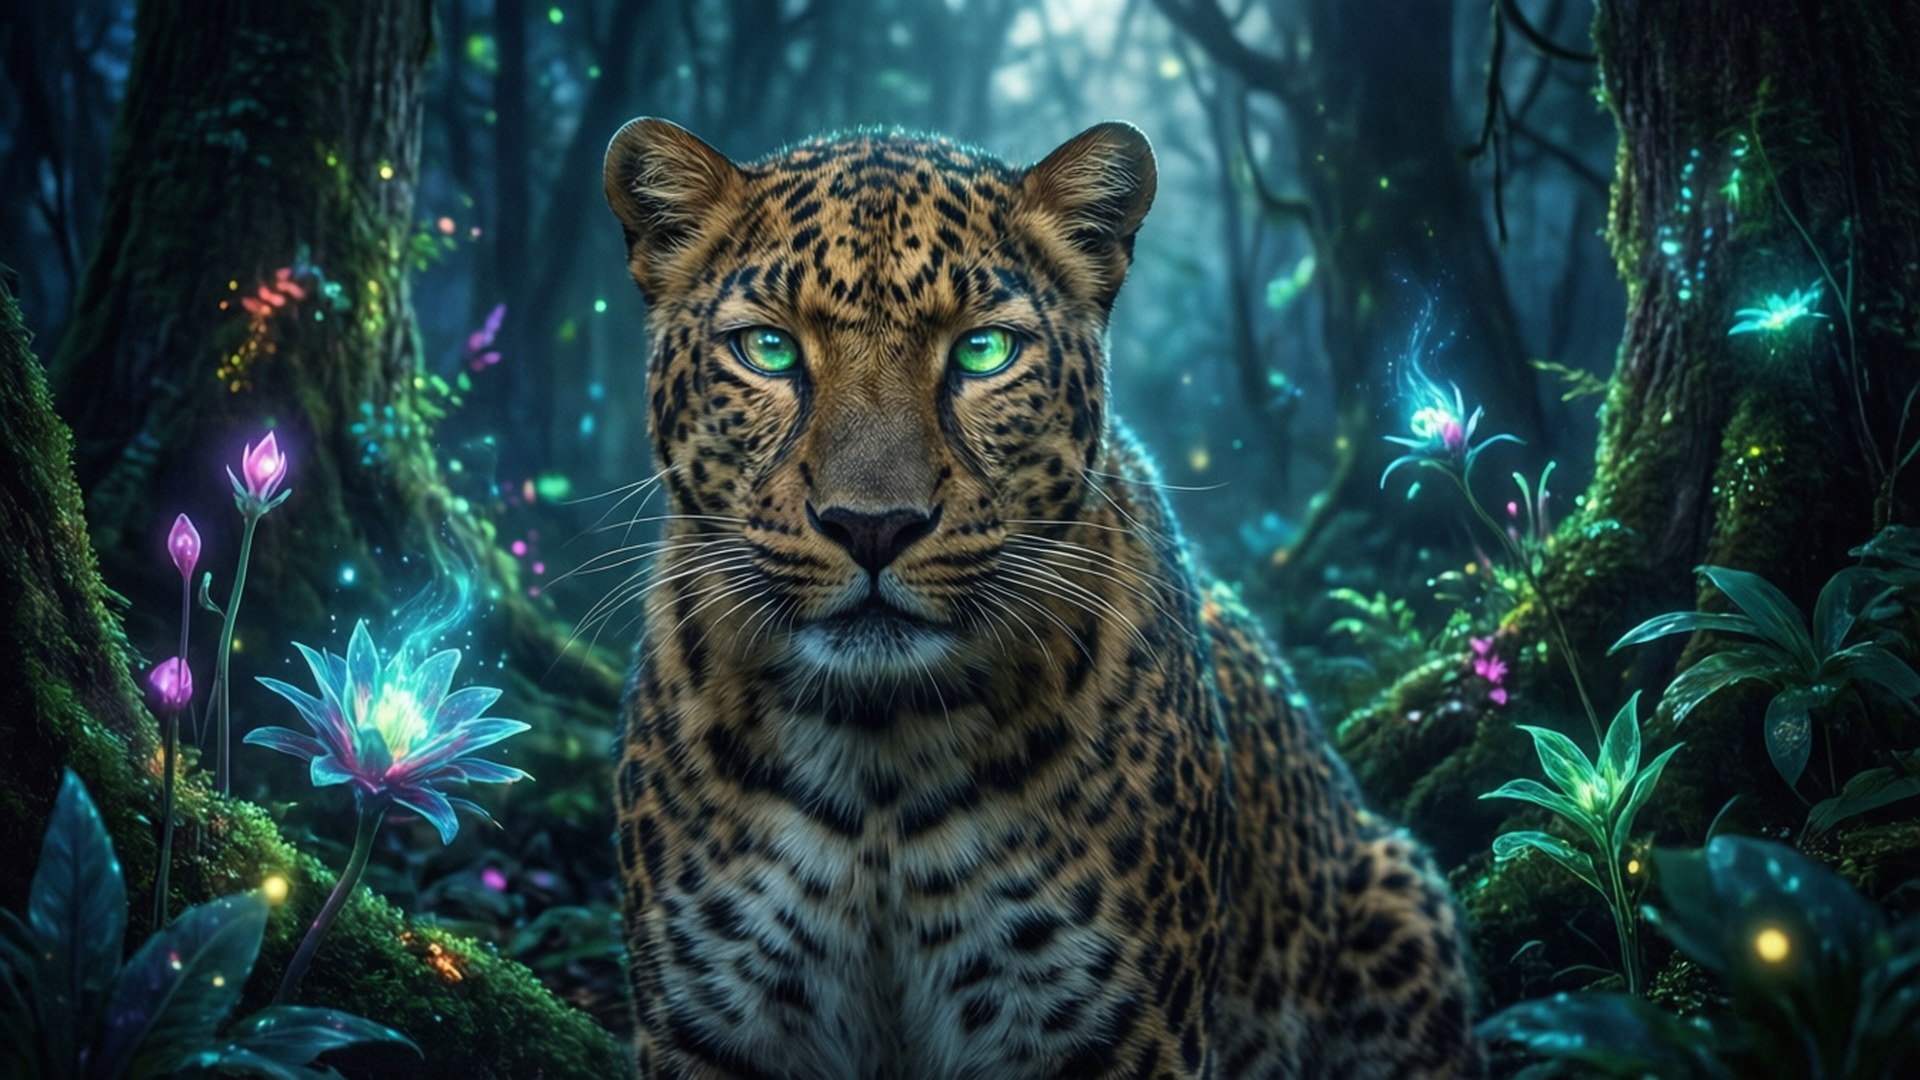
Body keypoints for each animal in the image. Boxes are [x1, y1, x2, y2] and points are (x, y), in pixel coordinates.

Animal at [601, 116, 1481, 1079]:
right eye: (769, 349)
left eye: (983, 351)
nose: (873, 526)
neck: (876, 759)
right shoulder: (710, 1027)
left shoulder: (1125, 1032)